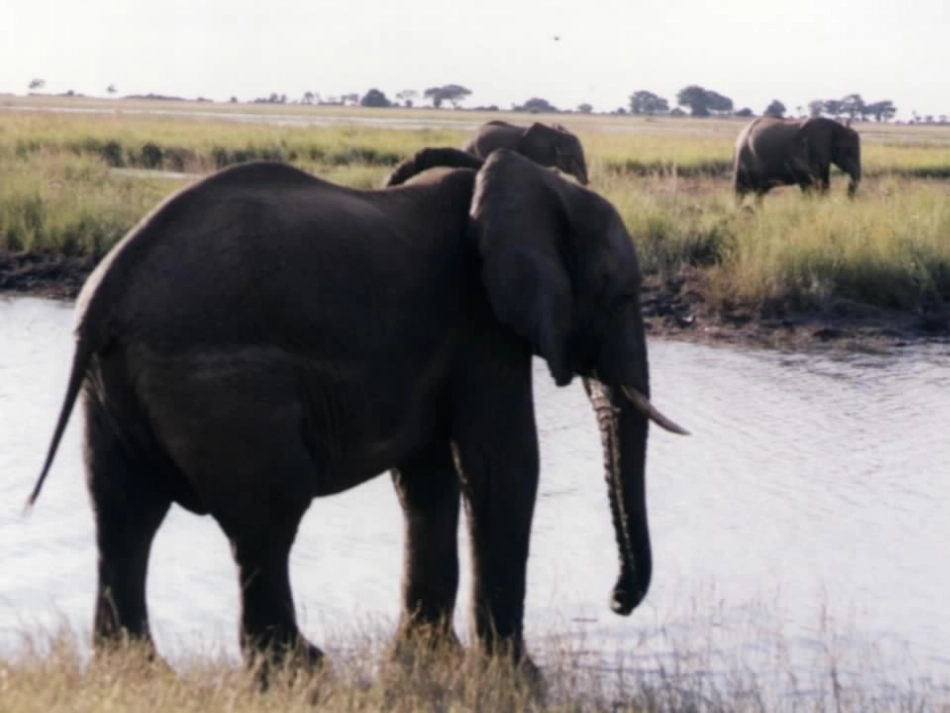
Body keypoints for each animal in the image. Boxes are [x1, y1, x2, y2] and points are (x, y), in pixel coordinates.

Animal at [26, 148, 687, 682]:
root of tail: (107, 290)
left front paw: (429, 656)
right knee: (266, 517)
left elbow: (427, 478)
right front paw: (519, 678)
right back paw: (299, 669)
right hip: (226, 388)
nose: (616, 601)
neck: (527, 182)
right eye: (621, 293)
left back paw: (135, 670)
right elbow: (502, 466)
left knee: (124, 512)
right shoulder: (481, 326)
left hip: (112, 388)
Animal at [733, 116, 861, 202]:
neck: (837, 128)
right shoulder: (810, 150)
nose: (848, 198)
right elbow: (809, 183)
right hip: (743, 160)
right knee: (740, 190)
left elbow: (823, 180)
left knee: (759, 193)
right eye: (848, 152)